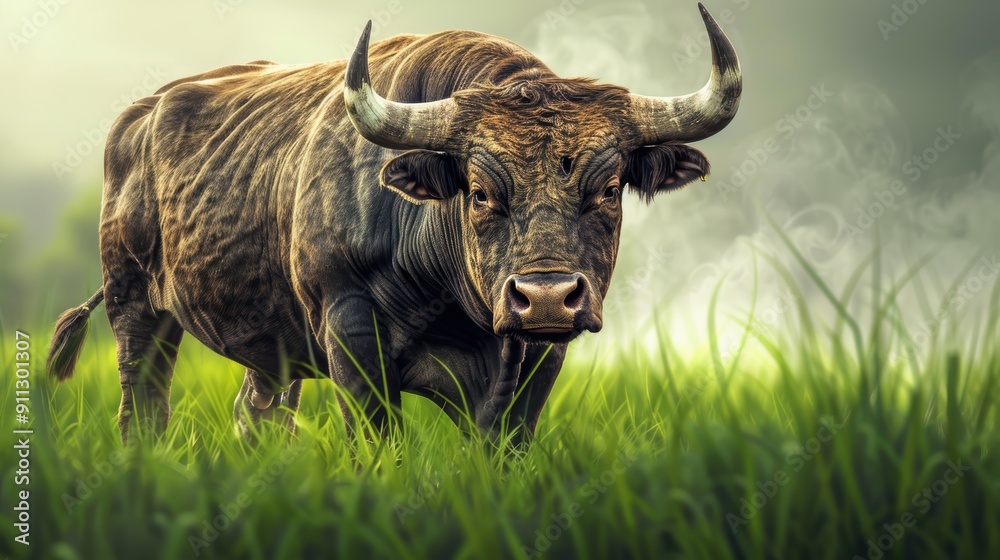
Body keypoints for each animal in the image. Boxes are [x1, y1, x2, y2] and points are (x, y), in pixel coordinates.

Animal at [46, 4, 741, 446]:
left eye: (608, 189)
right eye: (480, 191)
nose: (545, 296)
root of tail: (138, 116)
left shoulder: (536, 362)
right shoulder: (351, 334)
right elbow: (380, 446)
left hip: (268, 343)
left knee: (258, 415)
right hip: (135, 304)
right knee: (142, 406)